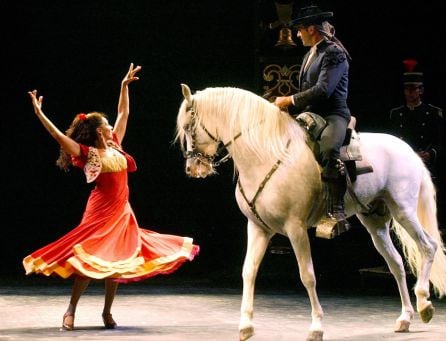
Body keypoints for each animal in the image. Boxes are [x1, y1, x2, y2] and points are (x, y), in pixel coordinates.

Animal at [175, 83, 446, 340]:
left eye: (189, 126)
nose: (192, 169)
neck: (266, 154)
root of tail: (407, 149)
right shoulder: (258, 227)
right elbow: (248, 272)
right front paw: (246, 326)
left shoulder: (295, 229)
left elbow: (307, 275)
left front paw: (316, 327)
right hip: (375, 223)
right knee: (396, 264)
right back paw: (405, 317)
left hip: (404, 211)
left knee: (428, 246)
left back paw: (425, 305)